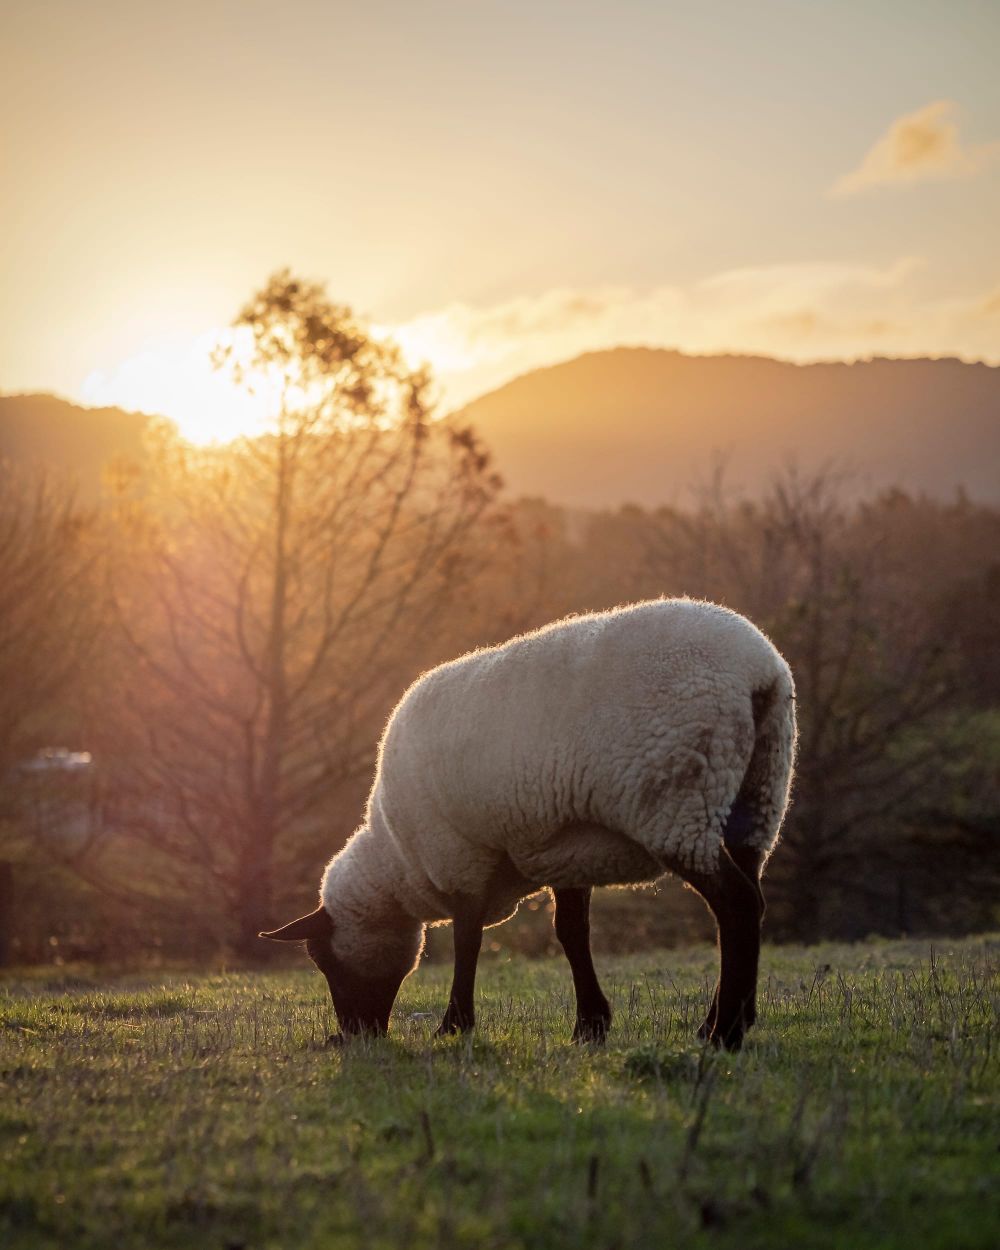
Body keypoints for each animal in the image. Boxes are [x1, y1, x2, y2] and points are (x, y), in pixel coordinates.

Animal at [262, 599, 797, 1050]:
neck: (399, 861)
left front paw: (454, 1024)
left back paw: (723, 1032)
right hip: (759, 794)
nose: (355, 1034)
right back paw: (733, 1018)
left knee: (736, 904)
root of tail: (758, 670)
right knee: (754, 895)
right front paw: (590, 1025)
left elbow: (467, 937)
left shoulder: (458, 853)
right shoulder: (567, 849)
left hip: (678, 803)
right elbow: (571, 932)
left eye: (322, 958)